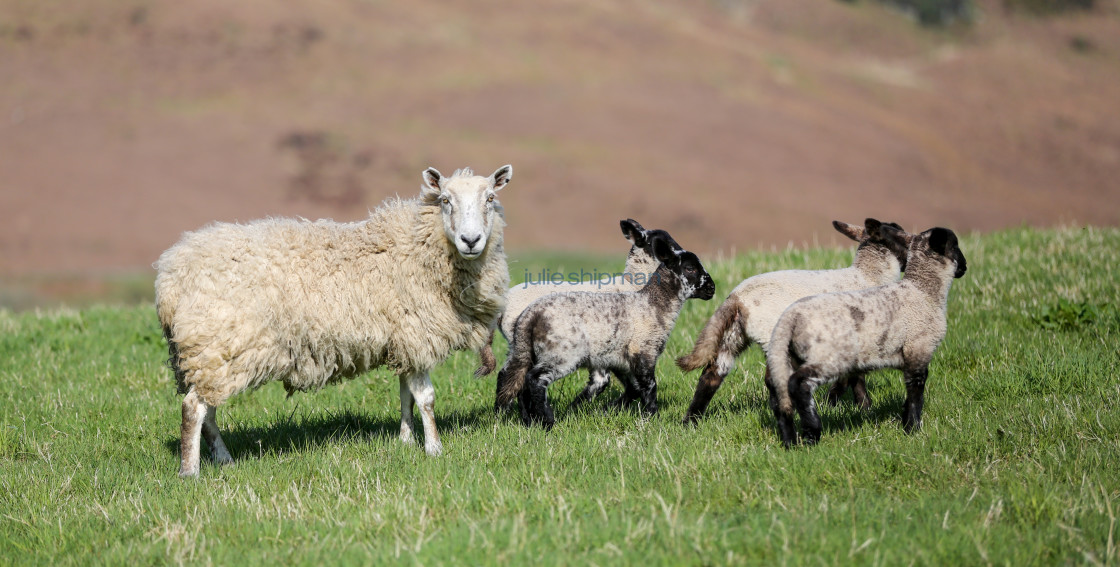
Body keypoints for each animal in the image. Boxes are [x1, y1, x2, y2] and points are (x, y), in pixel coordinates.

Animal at [155, 164, 512, 477]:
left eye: (490, 198)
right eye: (445, 200)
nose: (471, 240)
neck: (418, 245)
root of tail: (171, 276)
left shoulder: (404, 341)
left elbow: (405, 395)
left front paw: (406, 440)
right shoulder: (417, 334)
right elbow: (426, 399)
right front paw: (434, 449)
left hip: (211, 358)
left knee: (208, 412)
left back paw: (224, 459)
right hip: (217, 346)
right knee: (193, 409)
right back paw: (190, 472)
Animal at [495, 236, 712, 430]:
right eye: (690, 268)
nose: (712, 288)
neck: (653, 305)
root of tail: (530, 315)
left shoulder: (618, 359)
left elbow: (632, 389)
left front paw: (603, 410)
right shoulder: (644, 351)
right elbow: (650, 387)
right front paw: (652, 417)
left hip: (526, 349)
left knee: (519, 380)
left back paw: (529, 421)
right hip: (562, 352)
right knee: (534, 379)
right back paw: (547, 421)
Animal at [672, 219, 909, 423]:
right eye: (903, 238)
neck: (868, 276)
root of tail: (737, 298)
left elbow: (854, 376)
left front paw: (858, 407)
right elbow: (851, 377)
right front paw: (845, 404)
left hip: (734, 334)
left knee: (712, 375)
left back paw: (690, 421)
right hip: (770, 334)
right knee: (772, 378)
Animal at [766, 226, 967, 448]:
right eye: (955, 246)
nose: (965, 267)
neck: (924, 291)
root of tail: (789, 318)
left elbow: (908, 395)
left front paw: (906, 422)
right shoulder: (918, 348)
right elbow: (916, 393)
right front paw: (912, 429)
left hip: (789, 356)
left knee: (778, 392)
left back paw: (790, 441)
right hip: (828, 356)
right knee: (798, 384)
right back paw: (812, 433)